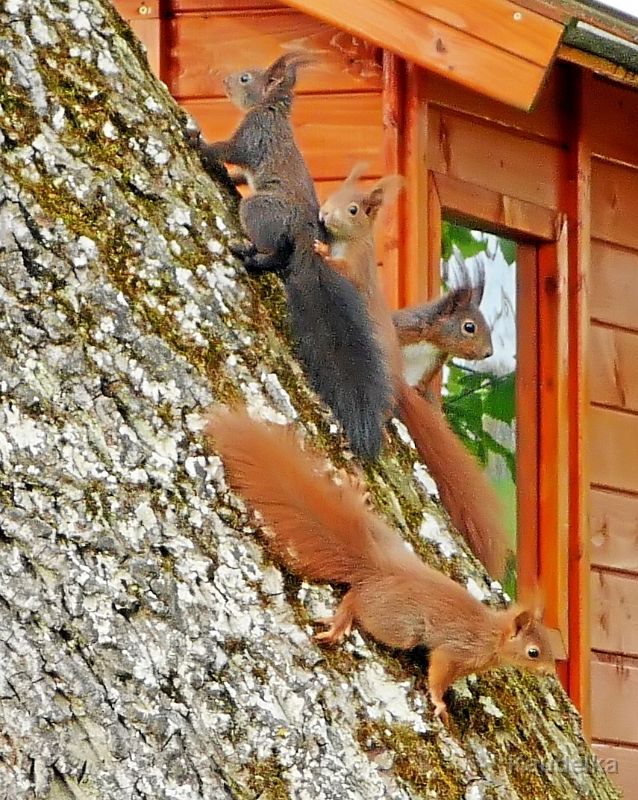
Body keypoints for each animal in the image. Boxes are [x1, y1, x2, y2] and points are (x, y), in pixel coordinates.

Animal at [188, 53, 392, 460]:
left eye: (246, 77)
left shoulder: (254, 135)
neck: (271, 109)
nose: (224, 81)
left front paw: (198, 143)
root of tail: (304, 237)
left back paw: (252, 256)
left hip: (260, 210)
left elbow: (227, 150)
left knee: (273, 250)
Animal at [206, 410, 556, 728]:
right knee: (357, 600)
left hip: (382, 535)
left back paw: (354, 492)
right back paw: (338, 624)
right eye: (534, 652)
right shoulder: (456, 649)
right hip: (398, 624)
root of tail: (378, 566)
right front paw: (440, 703)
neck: (492, 635)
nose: (550, 671)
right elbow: (438, 672)